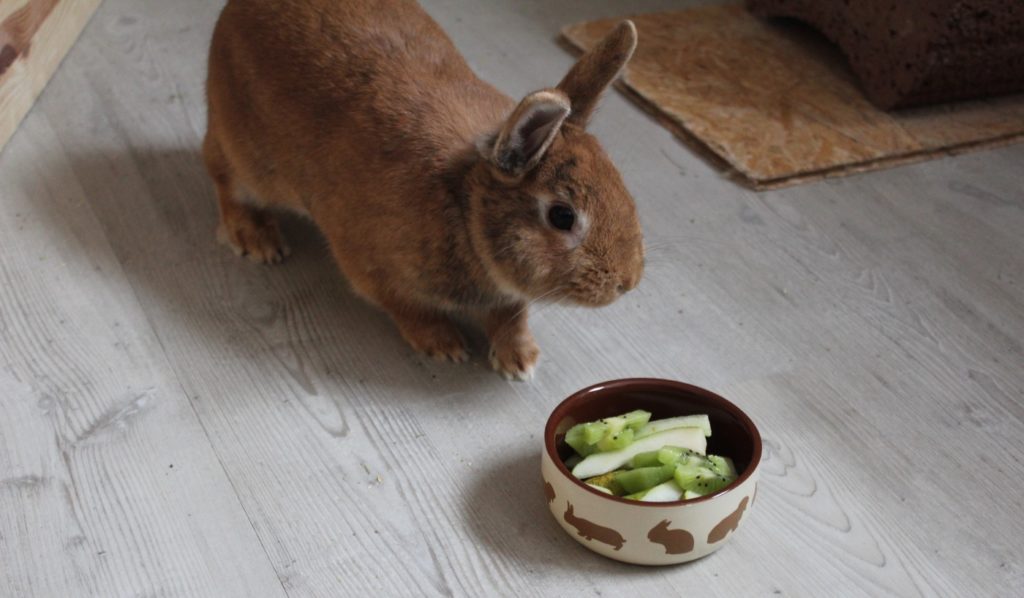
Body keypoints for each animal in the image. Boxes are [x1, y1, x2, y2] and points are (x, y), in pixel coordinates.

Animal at [203, 0, 643, 378]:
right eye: (562, 216)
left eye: (621, 186)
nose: (628, 283)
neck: (465, 206)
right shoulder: (371, 265)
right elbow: (409, 309)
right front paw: (445, 345)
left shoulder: (506, 293)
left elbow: (512, 315)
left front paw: (520, 360)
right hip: (246, 158)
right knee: (224, 178)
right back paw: (256, 240)